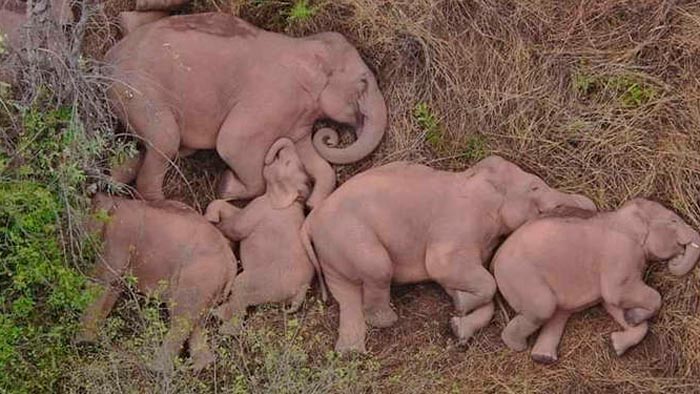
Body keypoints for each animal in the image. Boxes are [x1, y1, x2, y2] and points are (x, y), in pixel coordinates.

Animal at [73, 194, 238, 372]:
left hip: (198, 276)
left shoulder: (119, 236)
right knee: (196, 320)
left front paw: (83, 343)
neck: (115, 200)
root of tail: (231, 263)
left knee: (181, 318)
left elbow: (103, 277)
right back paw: (202, 366)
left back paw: (156, 369)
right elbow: (114, 285)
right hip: (210, 284)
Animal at [106, 12, 388, 206]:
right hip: (139, 91)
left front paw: (312, 203)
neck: (303, 45)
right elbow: (232, 142)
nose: (331, 136)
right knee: (165, 139)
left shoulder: (297, 118)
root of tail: (107, 61)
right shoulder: (272, 95)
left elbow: (313, 157)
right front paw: (225, 186)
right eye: (363, 82)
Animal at [205, 137, 314, 334]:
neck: (295, 200)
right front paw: (212, 216)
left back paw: (221, 323)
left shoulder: (261, 208)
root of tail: (301, 291)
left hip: (266, 281)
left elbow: (236, 228)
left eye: (286, 163)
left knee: (241, 291)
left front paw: (211, 223)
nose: (273, 153)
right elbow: (233, 213)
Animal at [300, 155, 596, 352]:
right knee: (378, 268)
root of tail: (310, 221)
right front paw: (461, 305)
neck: (474, 178)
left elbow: (460, 283)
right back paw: (386, 319)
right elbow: (445, 268)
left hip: (333, 250)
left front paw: (457, 320)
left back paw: (349, 349)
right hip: (349, 234)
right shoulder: (458, 225)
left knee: (345, 294)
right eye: (535, 187)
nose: (591, 205)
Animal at [492, 200, 700, 364]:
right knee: (543, 308)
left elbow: (612, 304)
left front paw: (620, 336)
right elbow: (617, 294)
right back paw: (518, 346)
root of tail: (494, 260)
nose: (676, 258)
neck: (621, 216)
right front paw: (633, 318)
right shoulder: (620, 254)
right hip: (520, 276)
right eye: (673, 220)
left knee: (557, 314)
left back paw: (542, 358)